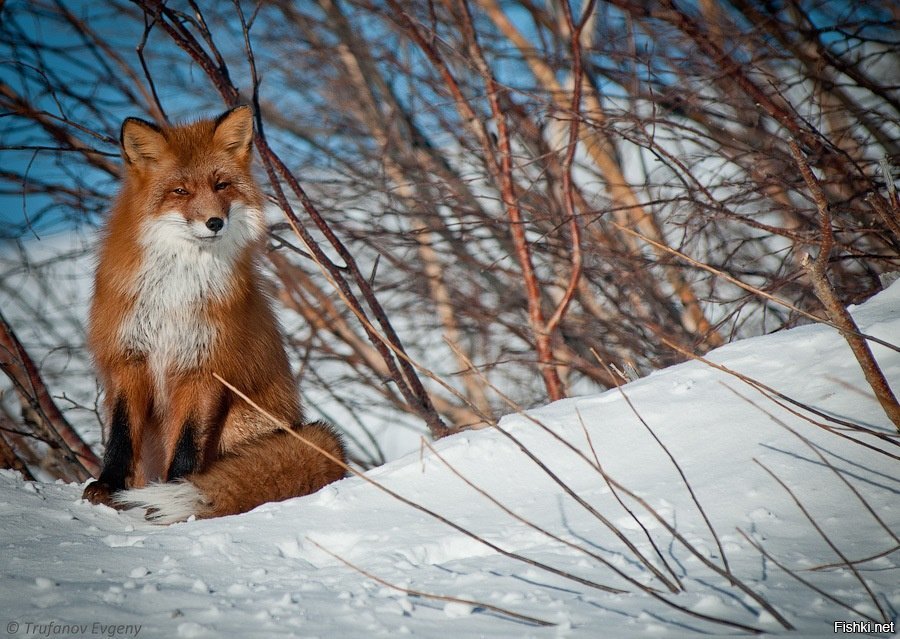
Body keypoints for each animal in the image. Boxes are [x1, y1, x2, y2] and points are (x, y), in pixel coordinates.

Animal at [80, 106, 344, 524]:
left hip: (239, 419)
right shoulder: (129, 357)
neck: (177, 287)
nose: (214, 223)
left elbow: (188, 442)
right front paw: (107, 486)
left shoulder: (204, 365)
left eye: (221, 186)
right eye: (180, 191)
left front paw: (175, 489)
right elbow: (121, 435)